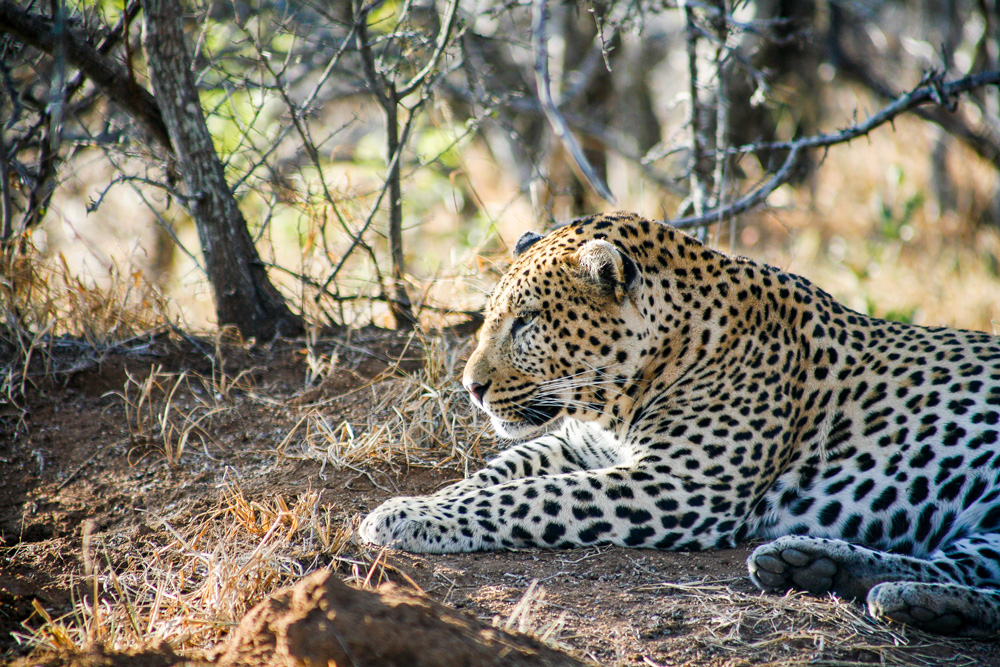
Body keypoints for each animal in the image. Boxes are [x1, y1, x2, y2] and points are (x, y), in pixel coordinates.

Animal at [360, 213, 1000, 636]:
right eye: (493, 316)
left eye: (528, 322)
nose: (471, 388)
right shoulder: (582, 444)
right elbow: (498, 474)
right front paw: (422, 503)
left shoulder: (684, 485)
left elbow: (529, 497)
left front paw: (404, 517)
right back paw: (820, 568)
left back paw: (891, 595)